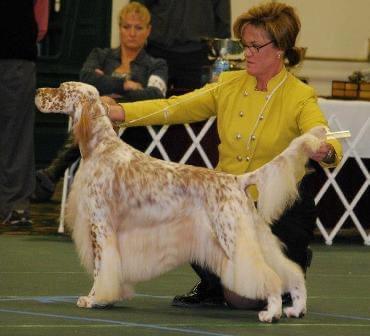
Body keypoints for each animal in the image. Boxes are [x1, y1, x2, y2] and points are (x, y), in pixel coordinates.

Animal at [34, 81, 324, 322]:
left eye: (62, 89)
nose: (38, 91)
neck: (102, 147)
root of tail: (236, 180)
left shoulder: (100, 226)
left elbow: (101, 268)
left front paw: (93, 299)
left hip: (232, 239)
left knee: (270, 277)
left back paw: (271, 312)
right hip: (253, 236)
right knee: (291, 271)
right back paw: (296, 308)